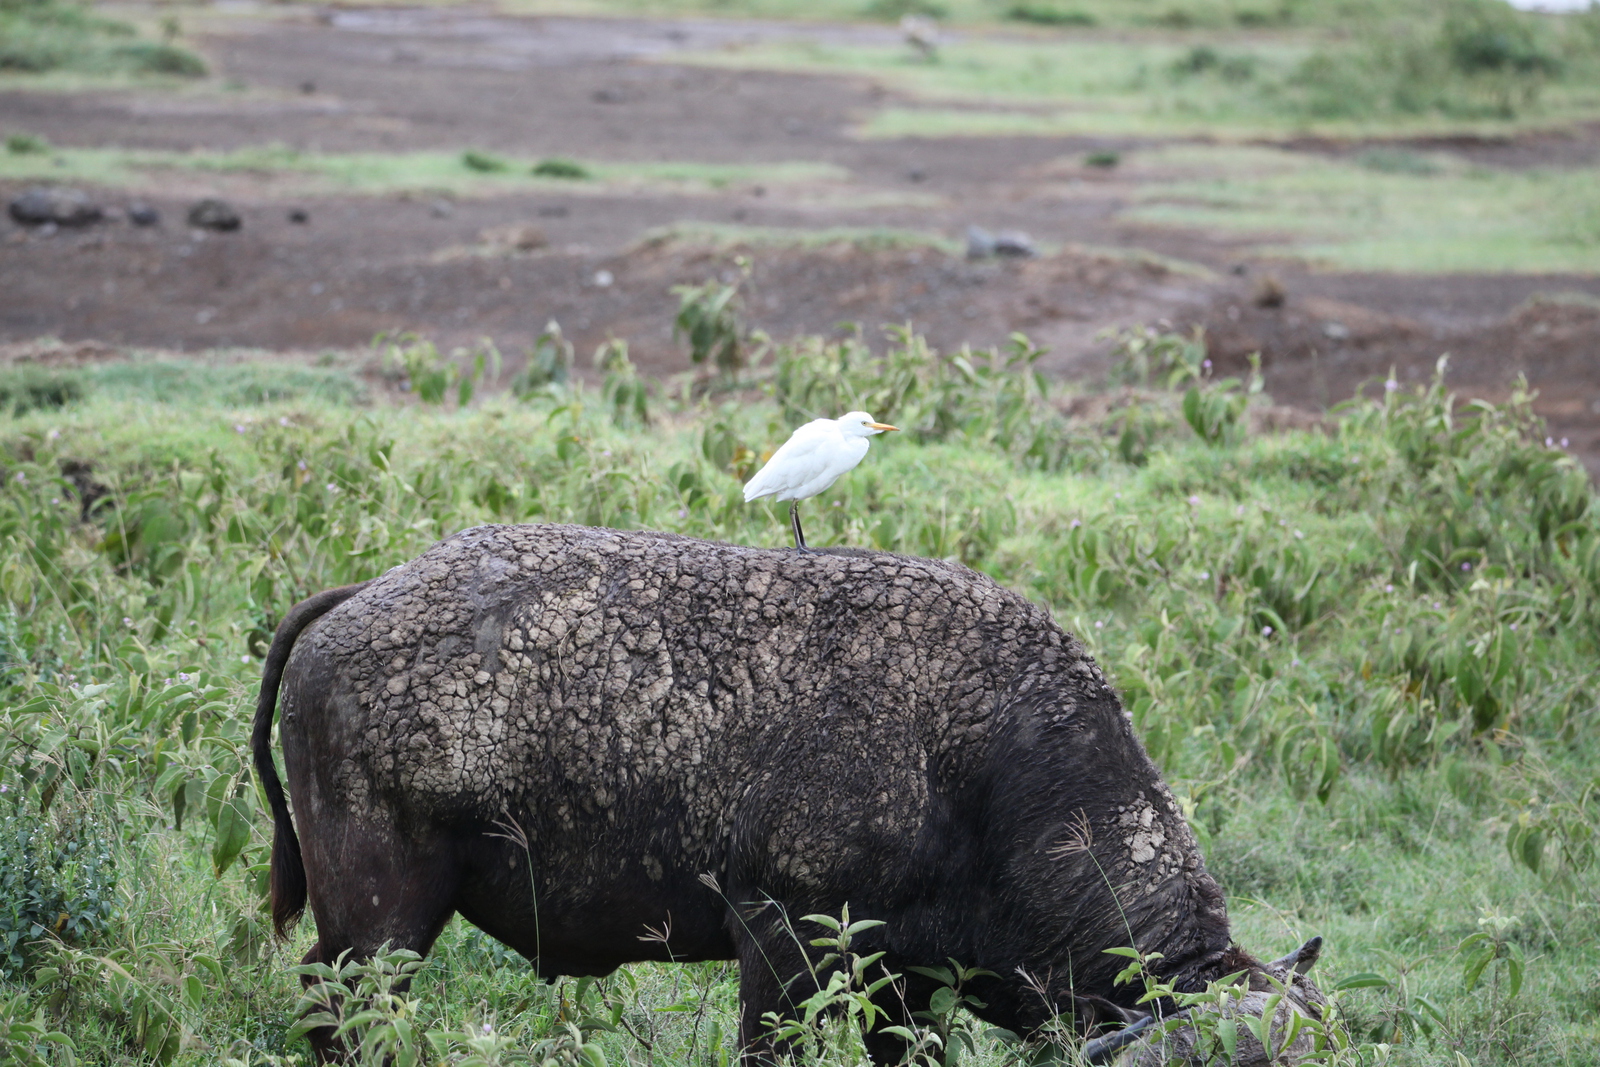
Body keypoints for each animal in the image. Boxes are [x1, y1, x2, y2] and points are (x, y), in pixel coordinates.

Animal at [252, 524, 1324, 1062]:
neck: (982, 767)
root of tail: (360, 597)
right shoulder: (782, 944)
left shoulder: (903, 982)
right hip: (383, 912)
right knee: (339, 1005)